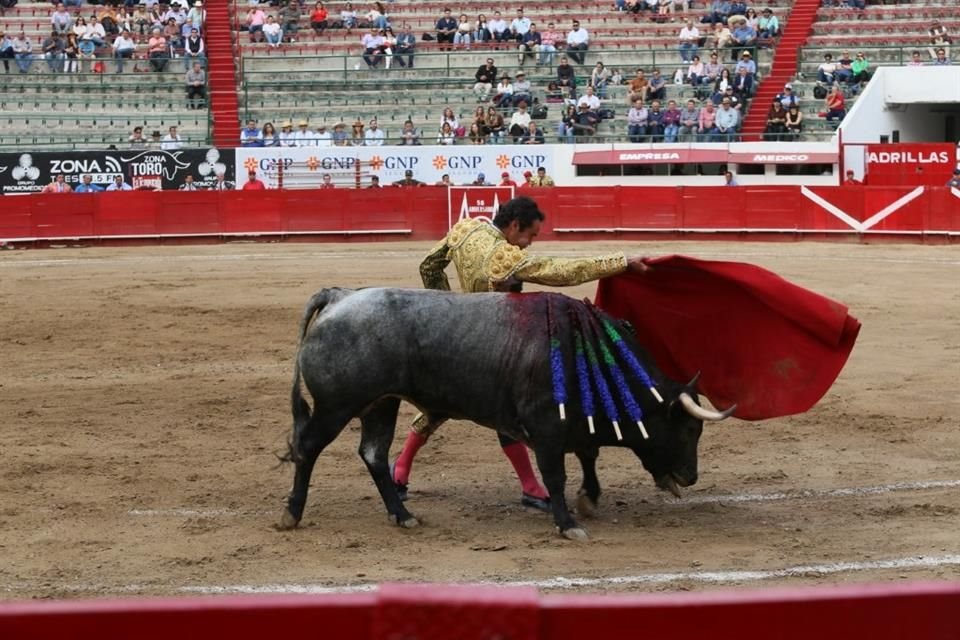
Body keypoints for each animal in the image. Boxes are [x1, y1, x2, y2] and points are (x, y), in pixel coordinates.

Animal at [282, 288, 732, 536]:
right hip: (336, 406)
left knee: (373, 453)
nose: (691, 477)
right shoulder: (547, 427)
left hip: (381, 403)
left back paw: (403, 515)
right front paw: (568, 524)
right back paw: (291, 514)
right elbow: (557, 474)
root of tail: (340, 296)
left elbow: (588, 455)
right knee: (308, 448)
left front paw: (588, 498)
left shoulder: (573, 423)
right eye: (688, 430)